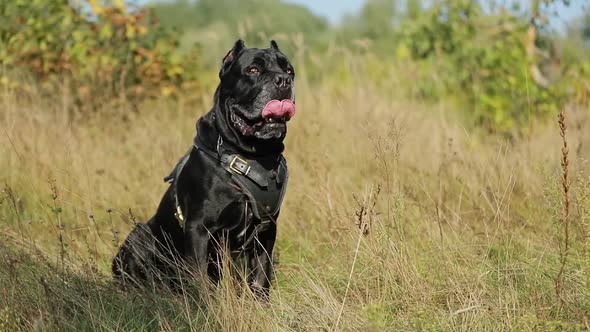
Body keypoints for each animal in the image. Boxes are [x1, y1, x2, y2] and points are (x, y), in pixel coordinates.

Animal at [112, 39, 296, 298]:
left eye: (289, 70)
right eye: (253, 70)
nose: (283, 81)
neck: (250, 154)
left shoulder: (267, 230)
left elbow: (261, 277)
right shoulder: (199, 229)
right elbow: (200, 279)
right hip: (139, 235)